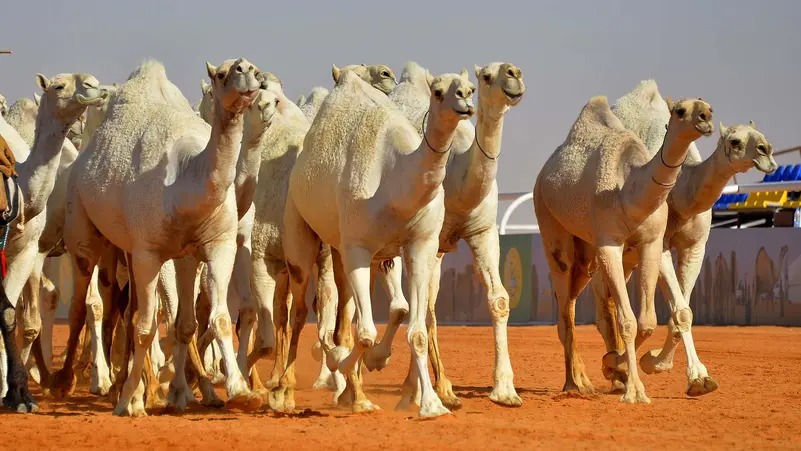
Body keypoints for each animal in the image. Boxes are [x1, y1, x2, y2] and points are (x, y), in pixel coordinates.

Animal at [62, 58, 262, 418]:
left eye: (253, 69)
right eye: (221, 75)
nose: (246, 68)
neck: (184, 179)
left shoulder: (215, 246)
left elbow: (215, 319)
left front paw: (240, 391)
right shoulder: (148, 252)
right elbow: (146, 328)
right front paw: (130, 402)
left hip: (136, 251)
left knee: (130, 312)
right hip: (85, 230)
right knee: (83, 302)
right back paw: (66, 383)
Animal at [280, 69, 476, 418]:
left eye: (470, 87)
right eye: (438, 92)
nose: (465, 100)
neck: (395, 178)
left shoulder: (420, 245)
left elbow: (414, 327)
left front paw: (431, 405)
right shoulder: (357, 246)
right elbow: (367, 332)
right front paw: (343, 361)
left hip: (349, 250)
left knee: (344, 313)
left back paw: (353, 393)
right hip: (300, 226)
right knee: (301, 309)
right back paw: (286, 393)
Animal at [532, 93, 712, 404]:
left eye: (709, 107)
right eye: (680, 111)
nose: (705, 118)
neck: (628, 194)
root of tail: (543, 176)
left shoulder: (651, 244)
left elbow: (647, 321)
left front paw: (616, 365)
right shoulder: (609, 245)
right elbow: (627, 321)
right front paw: (634, 391)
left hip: (586, 257)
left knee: (573, 302)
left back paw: (588, 379)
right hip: (549, 222)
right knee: (565, 310)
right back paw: (574, 384)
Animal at [592, 80, 772, 396]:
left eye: (759, 135)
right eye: (735, 141)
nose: (767, 152)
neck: (683, 192)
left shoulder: (695, 246)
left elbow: (683, 313)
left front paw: (664, 366)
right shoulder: (660, 244)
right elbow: (679, 311)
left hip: (628, 254)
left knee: (611, 295)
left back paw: (618, 367)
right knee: (603, 295)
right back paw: (614, 367)